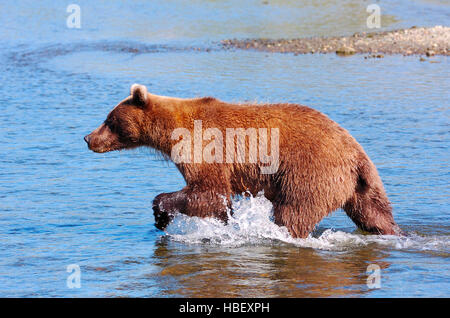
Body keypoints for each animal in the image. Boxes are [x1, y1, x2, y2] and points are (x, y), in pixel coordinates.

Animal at [84, 83, 400, 237]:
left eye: (109, 120)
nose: (88, 138)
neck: (170, 133)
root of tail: (355, 154)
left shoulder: (204, 146)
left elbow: (210, 191)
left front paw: (161, 213)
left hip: (310, 171)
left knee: (293, 212)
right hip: (361, 184)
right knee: (374, 213)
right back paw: (391, 232)